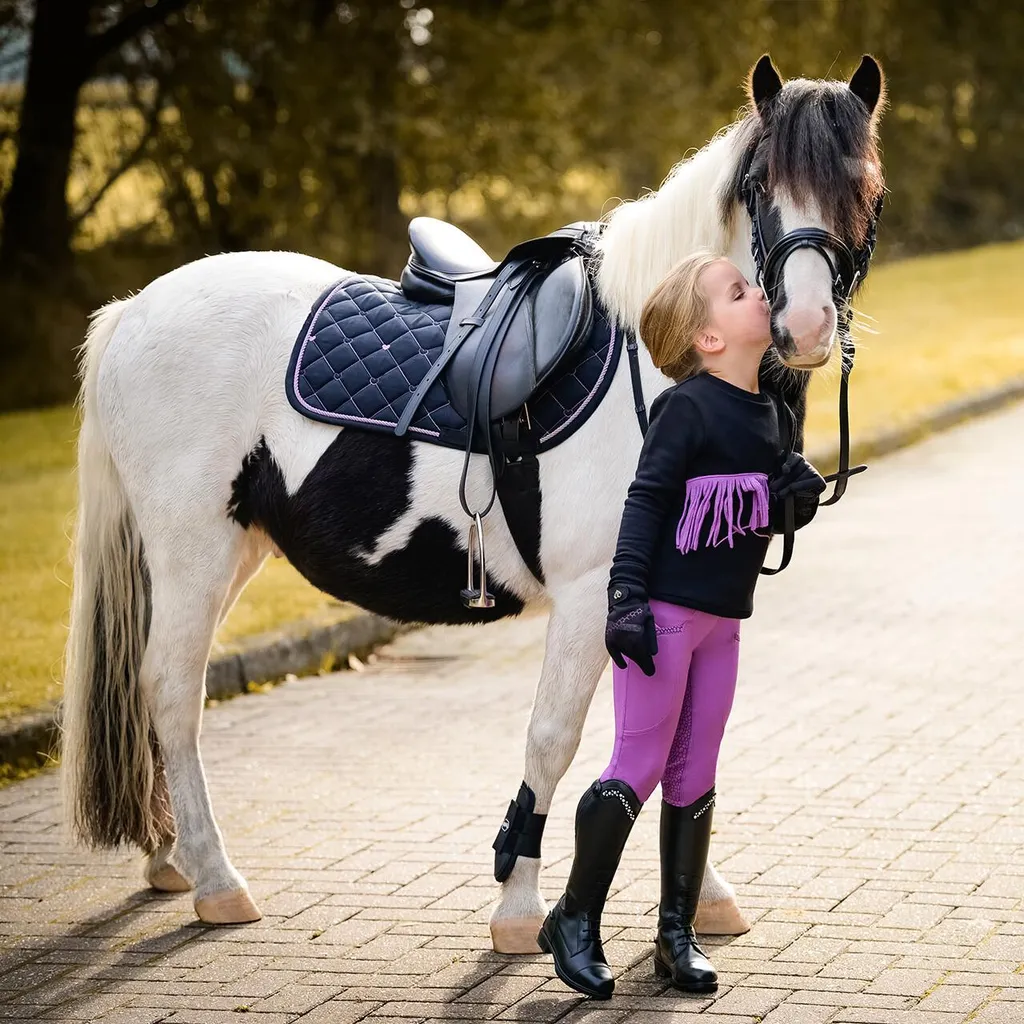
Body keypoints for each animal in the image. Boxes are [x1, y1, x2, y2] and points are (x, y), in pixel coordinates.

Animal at [60, 54, 886, 951]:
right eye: (762, 185)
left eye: (865, 188)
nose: (805, 325)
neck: (663, 360)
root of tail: (135, 310)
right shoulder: (592, 597)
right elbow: (554, 739)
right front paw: (520, 909)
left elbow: (677, 740)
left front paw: (705, 897)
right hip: (194, 554)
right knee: (171, 693)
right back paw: (216, 880)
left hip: (229, 550)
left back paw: (168, 858)